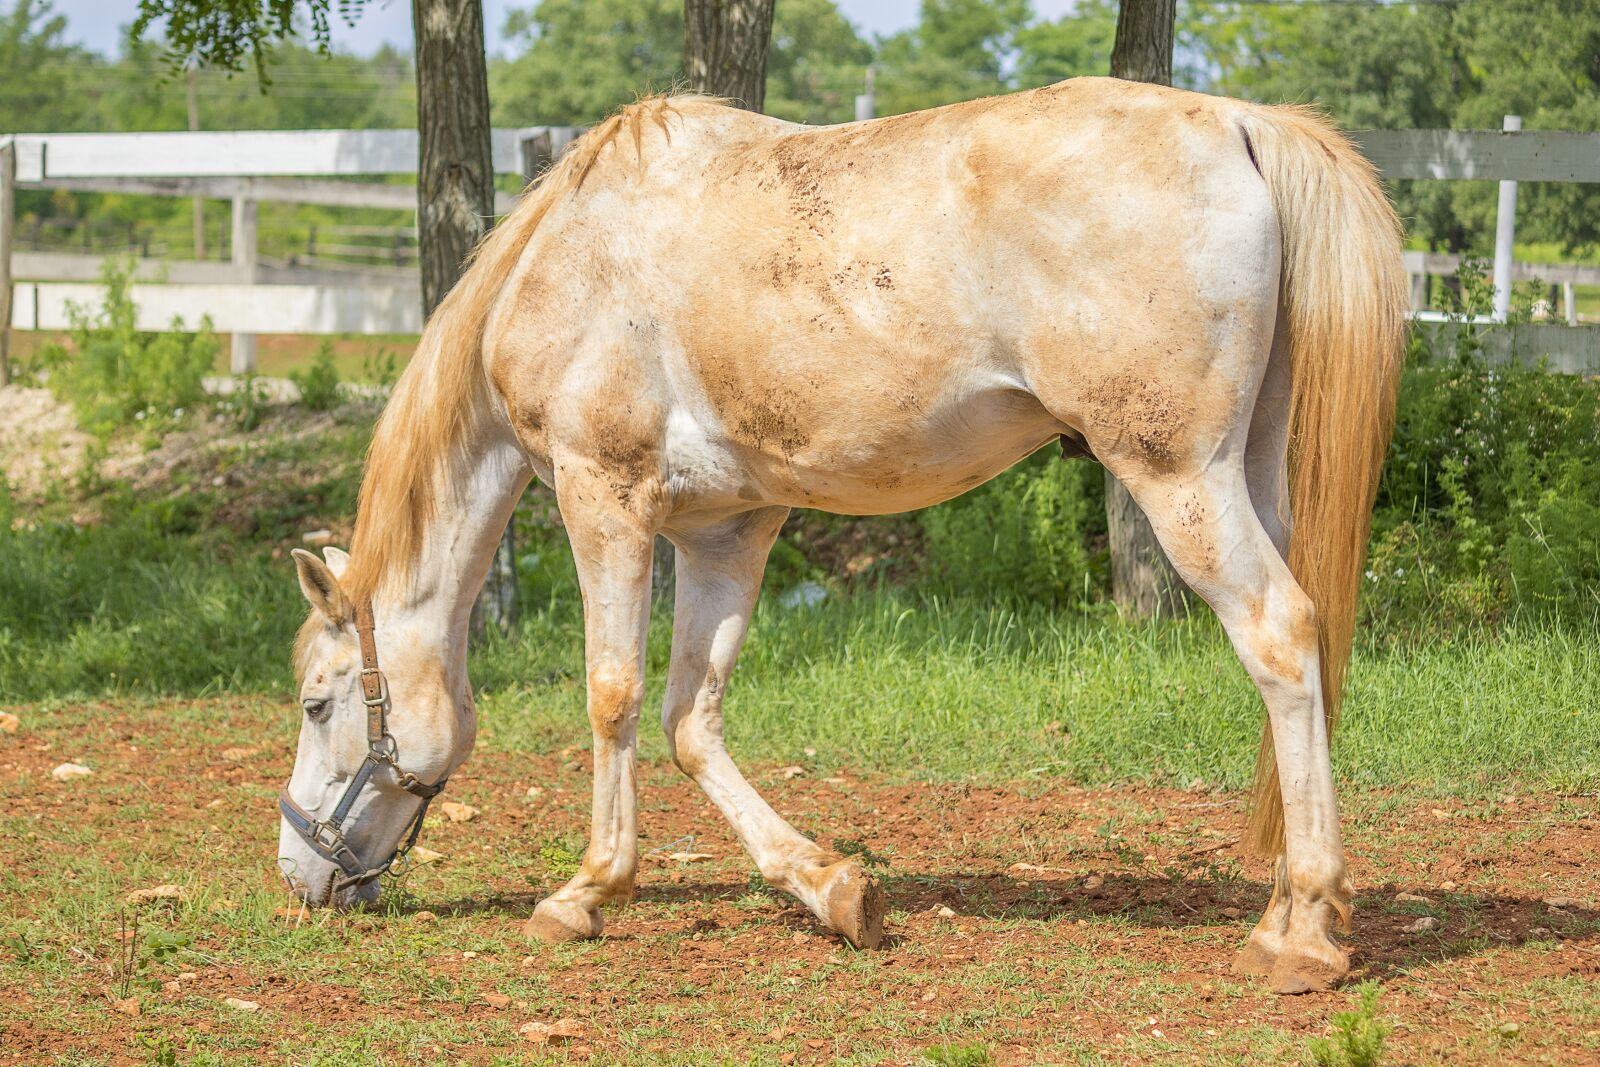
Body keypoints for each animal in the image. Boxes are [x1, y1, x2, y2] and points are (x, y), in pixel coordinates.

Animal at [277, 77, 1406, 995]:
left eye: (316, 700)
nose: (300, 874)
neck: (571, 253)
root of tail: (1240, 123)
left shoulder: (607, 502)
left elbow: (612, 697)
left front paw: (586, 890)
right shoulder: (726, 531)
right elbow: (691, 719)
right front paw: (830, 888)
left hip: (1181, 483)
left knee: (1279, 636)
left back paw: (1303, 932)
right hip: (1248, 476)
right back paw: (1285, 907)